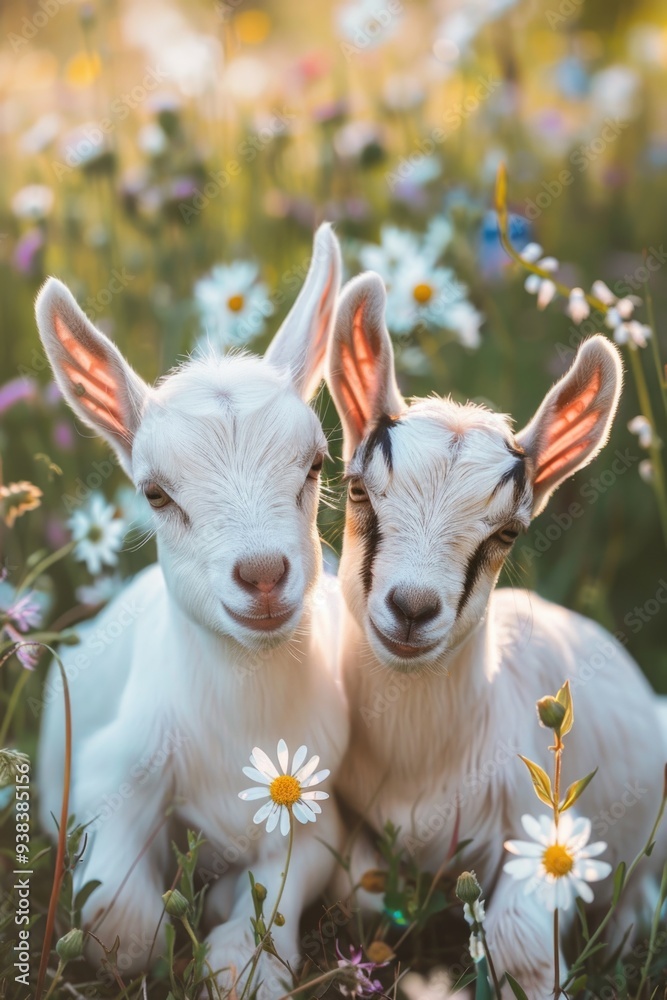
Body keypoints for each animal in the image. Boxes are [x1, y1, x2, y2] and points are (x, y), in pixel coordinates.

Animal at [35, 224, 350, 998]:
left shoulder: (322, 810)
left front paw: (241, 952)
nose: (263, 575)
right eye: (155, 493)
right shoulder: (108, 777)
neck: (243, 724)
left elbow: (270, 914)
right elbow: (122, 926)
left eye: (315, 465)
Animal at [326, 271, 667, 997]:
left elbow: (517, 938)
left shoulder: (544, 824)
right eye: (360, 491)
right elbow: (358, 887)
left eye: (507, 532)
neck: (422, 766)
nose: (412, 608)